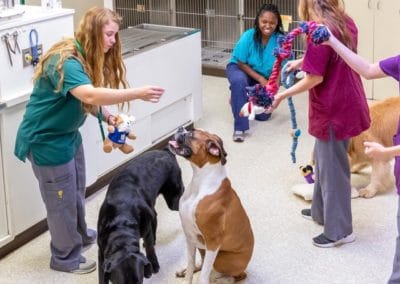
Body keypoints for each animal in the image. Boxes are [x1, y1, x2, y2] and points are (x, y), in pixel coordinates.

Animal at [97, 150, 184, 282]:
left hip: (173, 198)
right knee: (154, 215)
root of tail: (166, 151)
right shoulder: (101, 252)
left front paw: (153, 264)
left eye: (139, 281)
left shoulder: (146, 231)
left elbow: (150, 248)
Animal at [169, 127, 253, 282]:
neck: (200, 182)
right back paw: (184, 270)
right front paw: (187, 275)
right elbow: (190, 266)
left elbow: (203, 276)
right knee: (200, 264)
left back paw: (221, 279)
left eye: (191, 134)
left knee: (236, 276)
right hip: (201, 246)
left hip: (221, 258)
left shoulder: (213, 243)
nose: (180, 128)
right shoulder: (190, 237)